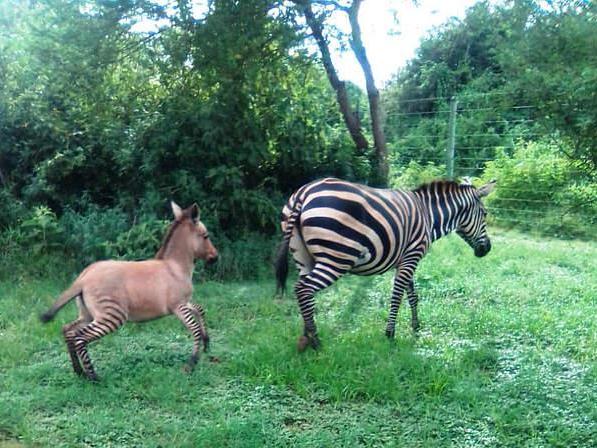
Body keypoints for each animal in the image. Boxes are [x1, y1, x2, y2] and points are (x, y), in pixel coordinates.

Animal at [39, 203, 218, 382]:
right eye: (206, 236)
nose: (216, 258)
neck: (175, 267)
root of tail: (83, 277)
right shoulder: (178, 306)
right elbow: (194, 329)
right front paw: (192, 363)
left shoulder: (185, 302)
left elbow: (200, 310)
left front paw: (207, 342)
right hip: (111, 316)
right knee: (80, 337)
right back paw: (94, 377)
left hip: (88, 314)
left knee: (68, 330)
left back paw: (79, 372)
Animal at [274, 178, 494, 350]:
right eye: (485, 214)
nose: (487, 249)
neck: (429, 216)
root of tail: (304, 192)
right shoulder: (412, 256)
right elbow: (397, 296)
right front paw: (390, 334)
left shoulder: (406, 259)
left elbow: (412, 296)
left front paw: (416, 328)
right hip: (336, 258)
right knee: (303, 289)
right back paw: (316, 342)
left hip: (303, 257)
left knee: (305, 294)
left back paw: (305, 337)